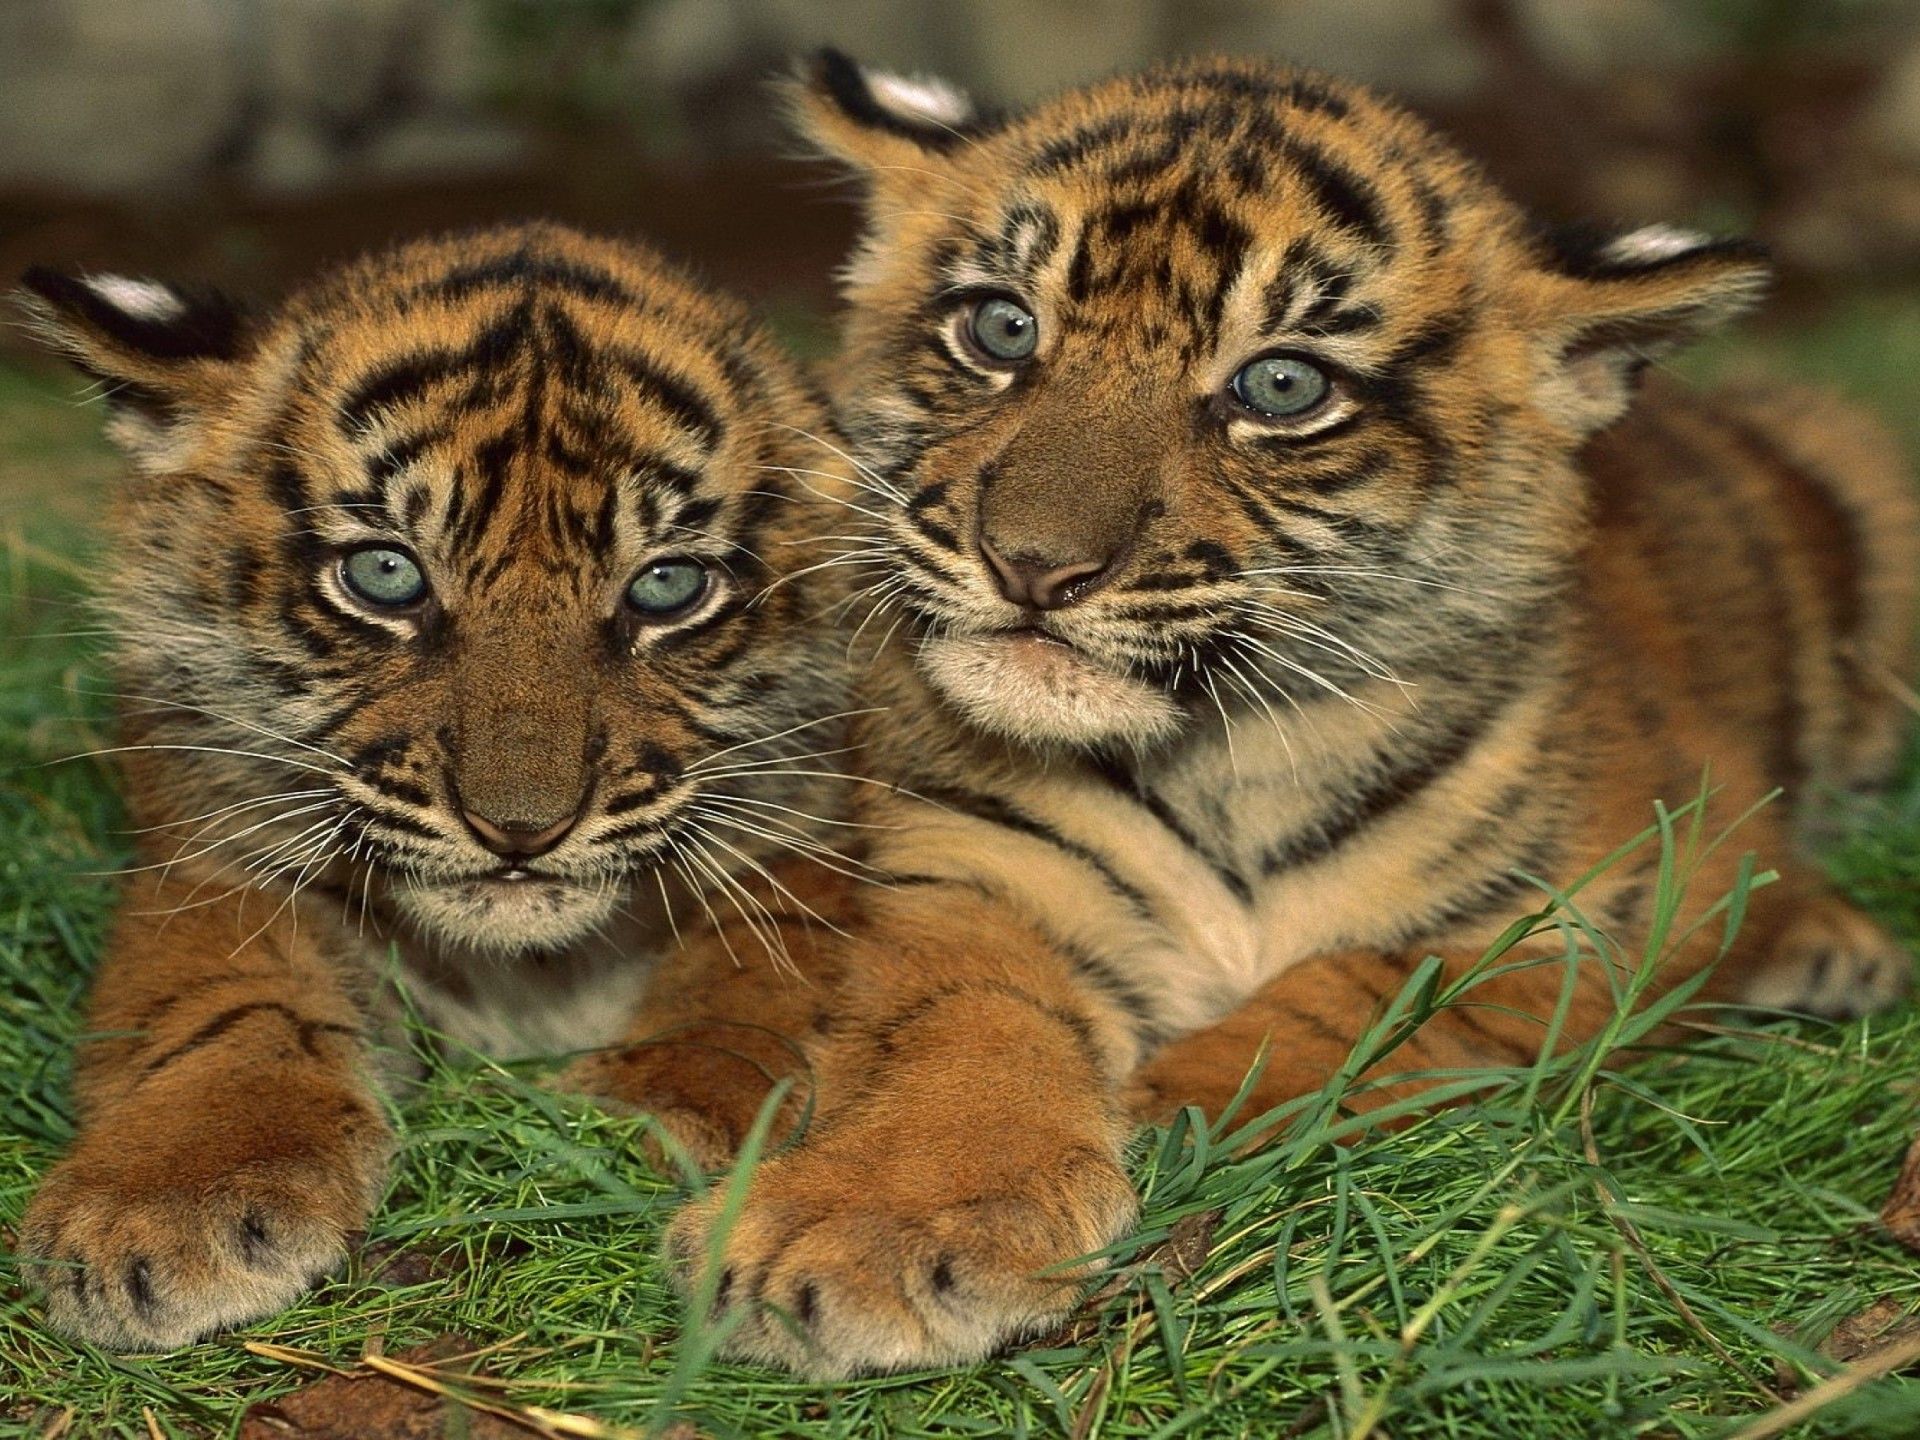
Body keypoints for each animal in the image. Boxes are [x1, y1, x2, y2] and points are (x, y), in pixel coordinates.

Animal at [13, 221, 868, 1349]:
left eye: (667, 586)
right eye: (386, 575)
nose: (521, 830)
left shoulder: (815, 837)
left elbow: (750, 979)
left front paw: (648, 1113)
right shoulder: (208, 855)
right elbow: (226, 1006)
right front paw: (162, 1202)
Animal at [620, 52, 1920, 1378]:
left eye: (1281, 386)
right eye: (1001, 327)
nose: (1031, 565)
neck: (1228, 753)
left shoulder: (1620, 898)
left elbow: (1374, 986)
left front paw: (1176, 1099)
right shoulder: (975, 872)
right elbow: (961, 1032)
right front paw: (877, 1223)